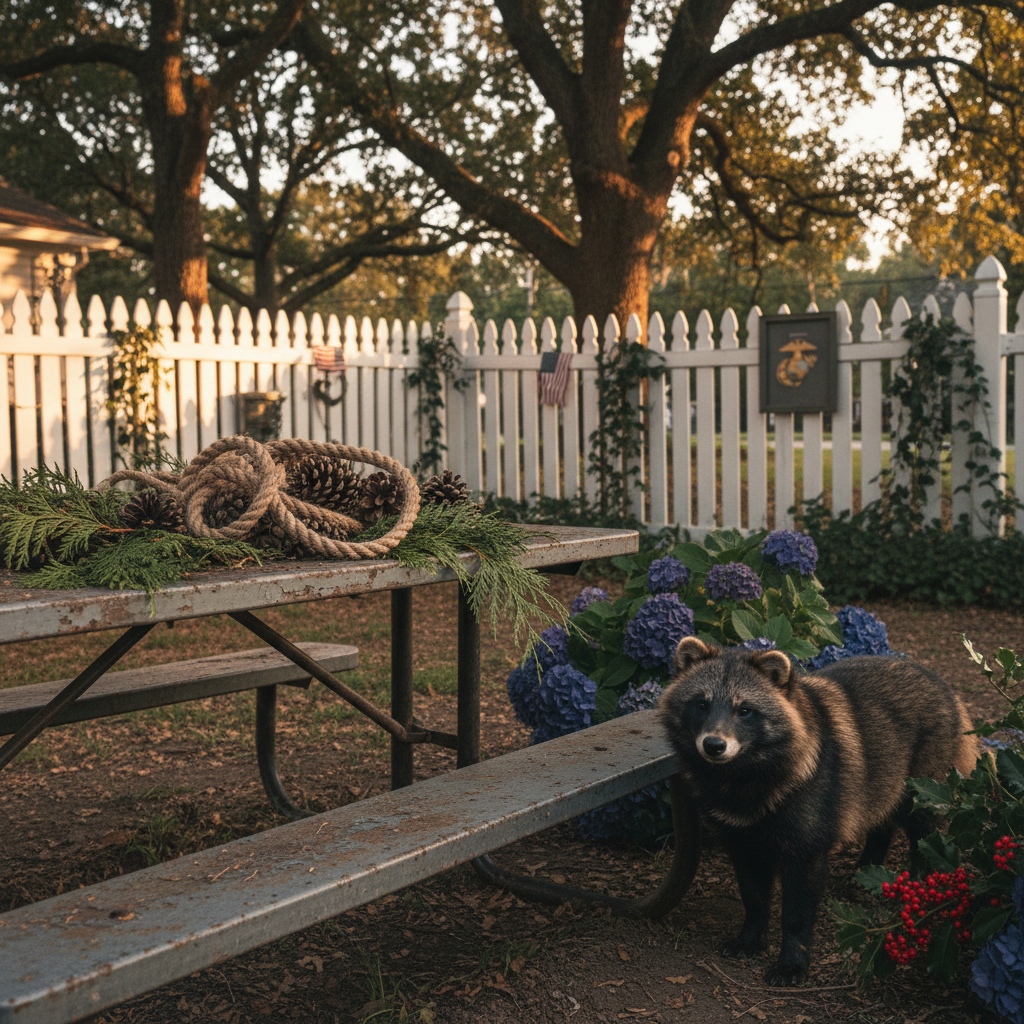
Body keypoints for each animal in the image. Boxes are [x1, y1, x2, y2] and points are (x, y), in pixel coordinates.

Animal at [659, 637, 978, 987]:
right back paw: (868, 865)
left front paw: (792, 958)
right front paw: (751, 936)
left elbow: (797, 912)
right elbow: (753, 895)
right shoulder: (741, 838)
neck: (740, 776)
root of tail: (942, 684)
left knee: (924, 833)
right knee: (880, 819)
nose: (714, 745)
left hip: (921, 786)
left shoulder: (807, 840)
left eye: (744, 711)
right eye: (701, 704)